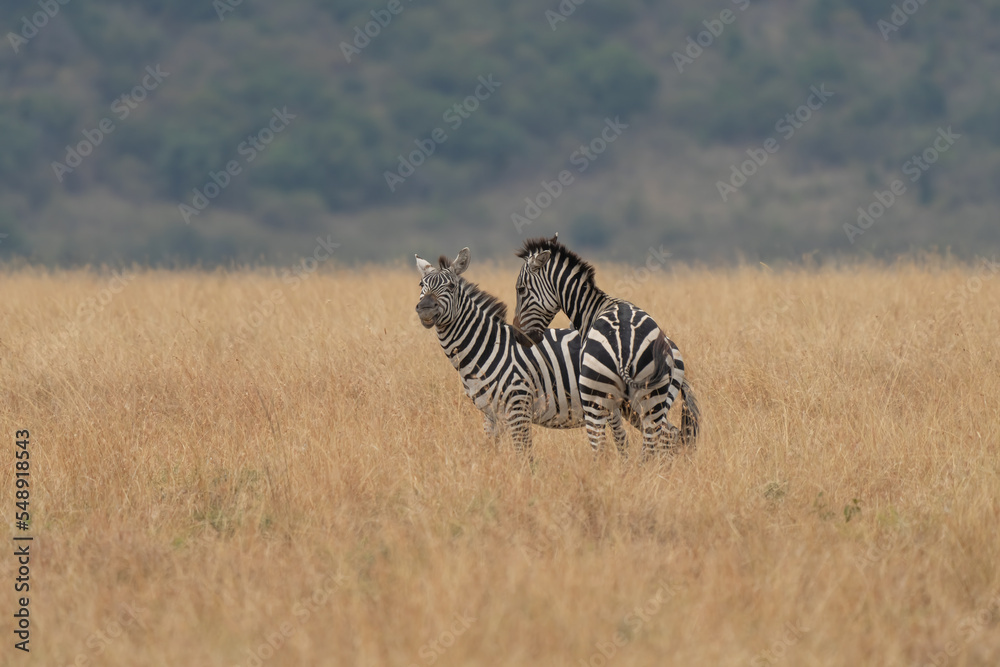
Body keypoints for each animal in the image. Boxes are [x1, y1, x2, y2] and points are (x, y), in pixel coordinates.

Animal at [415, 247, 655, 456]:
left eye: (451, 286)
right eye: (421, 284)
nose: (425, 308)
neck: (487, 347)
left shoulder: (518, 405)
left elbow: (525, 455)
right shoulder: (490, 415)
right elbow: (492, 452)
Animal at [511, 234, 699, 457]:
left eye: (521, 289)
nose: (518, 336)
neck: (593, 308)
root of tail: (625, 348)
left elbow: (619, 438)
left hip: (595, 398)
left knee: (600, 445)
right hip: (654, 398)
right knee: (657, 440)